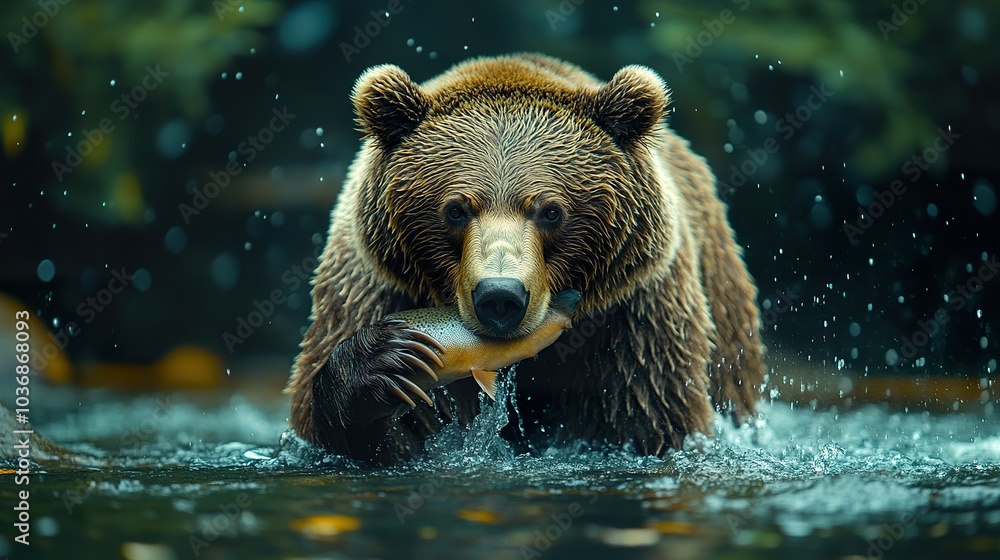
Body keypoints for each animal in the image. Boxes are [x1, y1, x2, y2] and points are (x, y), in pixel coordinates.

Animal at [285, 53, 764, 465]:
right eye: (455, 209)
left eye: (551, 210)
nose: (500, 295)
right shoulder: (373, 286)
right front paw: (386, 360)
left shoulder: (637, 315)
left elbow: (652, 415)